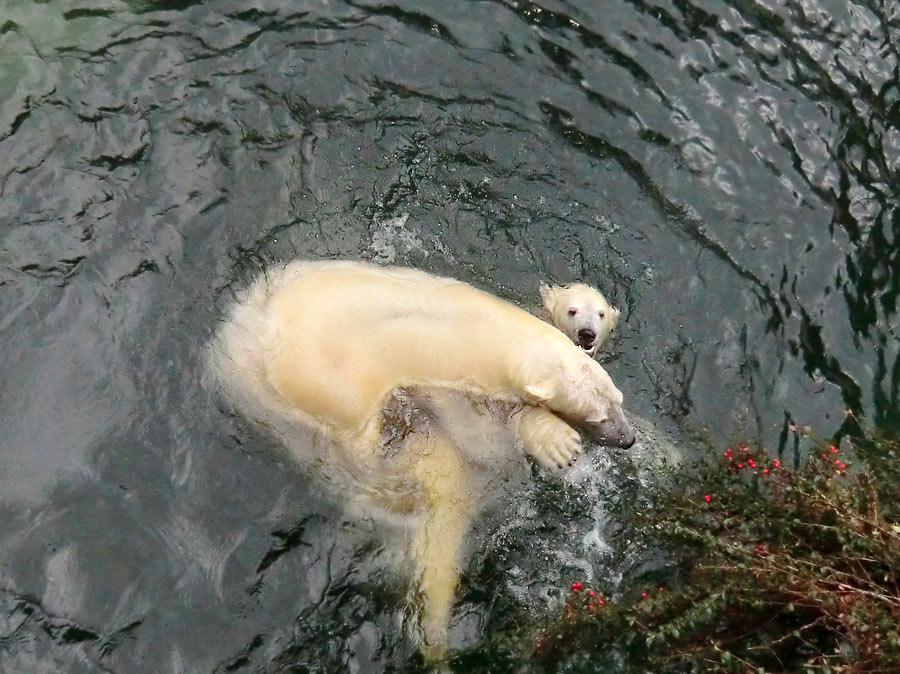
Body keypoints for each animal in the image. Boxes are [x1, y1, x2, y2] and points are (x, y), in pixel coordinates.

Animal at [208, 260, 636, 660]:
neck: (482, 332)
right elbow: (482, 433)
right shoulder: (448, 380)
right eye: (597, 415)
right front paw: (557, 443)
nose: (627, 438)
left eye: (618, 400)